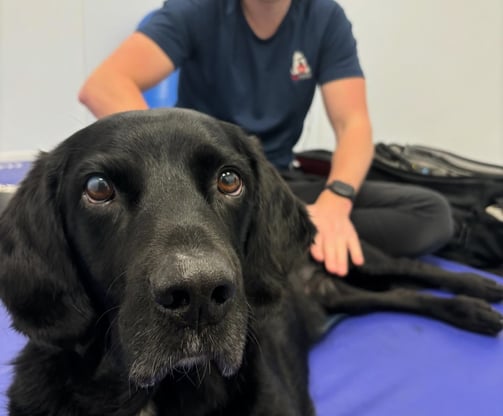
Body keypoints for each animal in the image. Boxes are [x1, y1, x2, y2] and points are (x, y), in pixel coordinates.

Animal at [0, 109, 503, 414]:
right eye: (98, 188)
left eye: (229, 180)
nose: (199, 294)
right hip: (346, 294)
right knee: (405, 294)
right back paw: (473, 311)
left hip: (361, 260)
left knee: (416, 271)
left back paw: (482, 292)